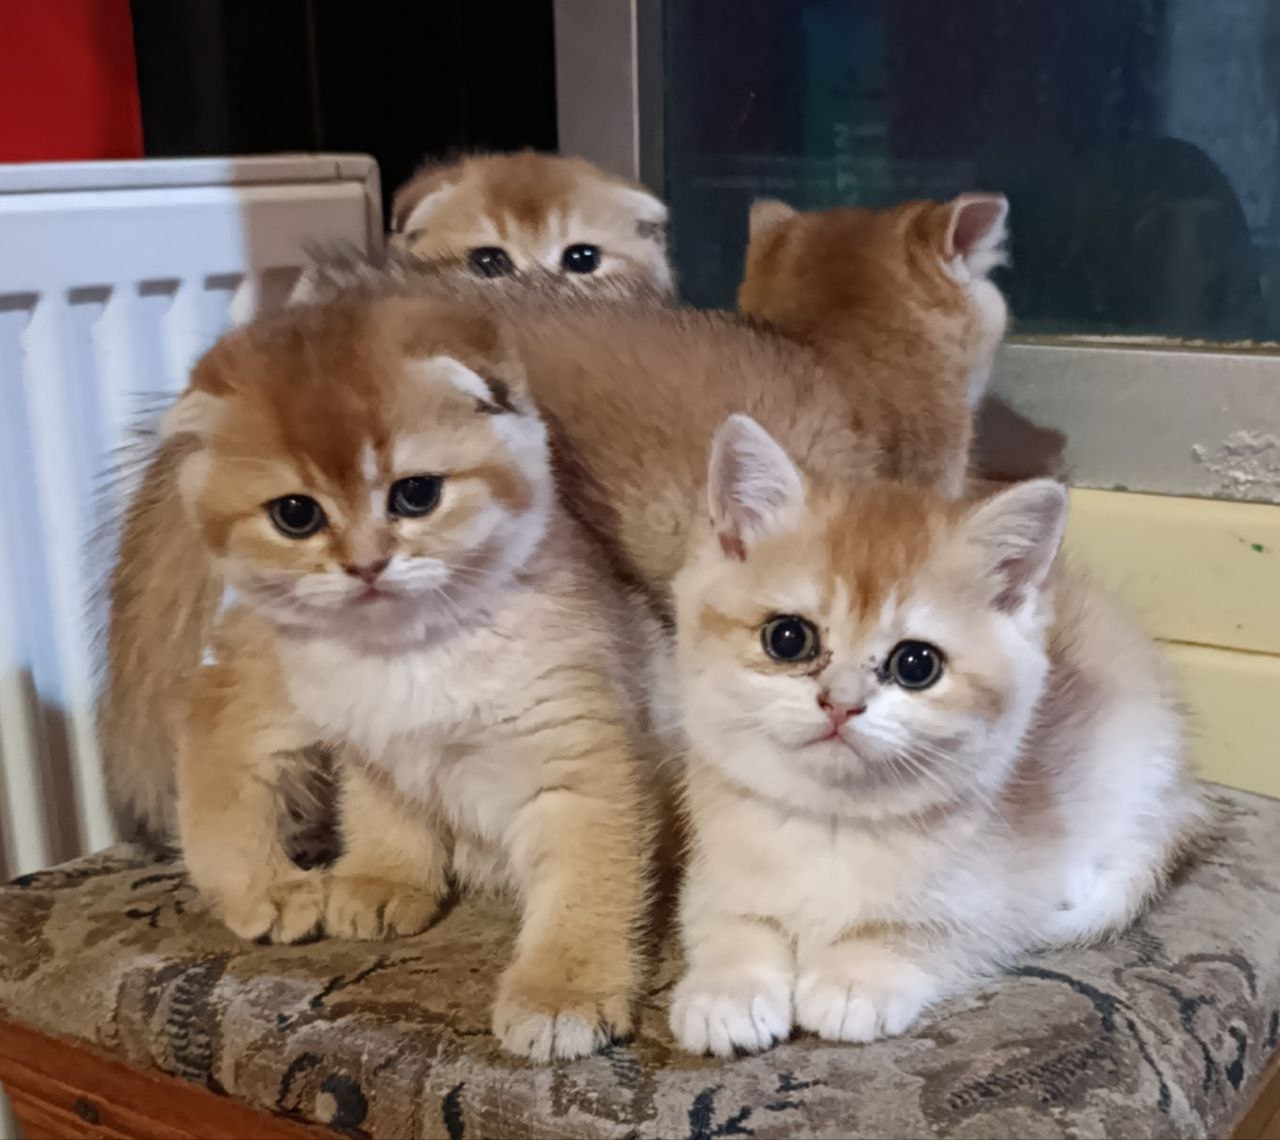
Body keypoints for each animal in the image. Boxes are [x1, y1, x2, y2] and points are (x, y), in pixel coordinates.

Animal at [167, 289, 667, 1062]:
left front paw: (562, 991)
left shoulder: (577, 762)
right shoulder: (373, 752)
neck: (409, 651)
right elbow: (385, 816)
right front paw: (382, 878)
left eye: (416, 494)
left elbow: (586, 888)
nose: (366, 564)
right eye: (295, 513)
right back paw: (270, 889)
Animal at [667, 414, 1204, 1055]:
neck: (833, 824)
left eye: (916, 664)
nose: (841, 704)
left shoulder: (989, 910)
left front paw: (854, 978)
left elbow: (919, 933)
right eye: (788, 638)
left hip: (1142, 756)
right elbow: (729, 923)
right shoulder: (711, 876)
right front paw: (727, 989)